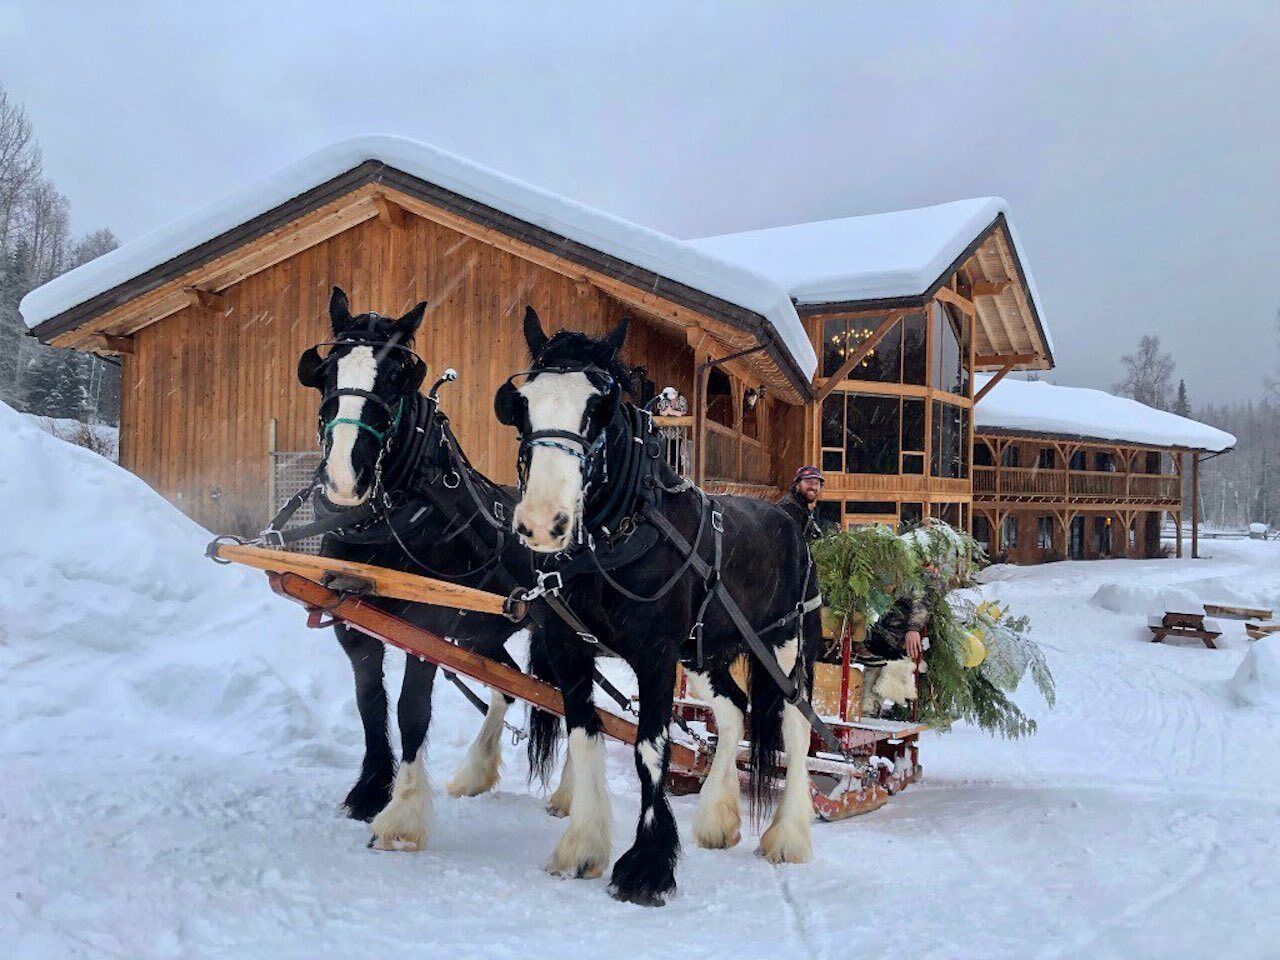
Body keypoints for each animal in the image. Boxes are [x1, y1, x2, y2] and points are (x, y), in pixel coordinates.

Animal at [296, 289, 568, 855]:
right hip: (480, 633)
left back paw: (568, 798)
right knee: (507, 685)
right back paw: (475, 773)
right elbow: (370, 702)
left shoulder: (427, 623)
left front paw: (402, 813)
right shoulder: (356, 621)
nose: (344, 479)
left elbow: (411, 708)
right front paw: (370, 788)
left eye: (398, 375)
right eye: (326, 370)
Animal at [494, 309, 824, 911]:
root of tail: (793, 518)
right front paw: (583, 845)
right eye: (521, 402)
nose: (544, 523)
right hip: (704, 654)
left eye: (599, 408)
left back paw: (787, 836)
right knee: (734, 711)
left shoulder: (654, 654)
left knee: (793, 725)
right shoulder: (570, 647)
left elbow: (650, 748)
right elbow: (585, 733)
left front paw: (646, 868)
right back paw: (718, 818)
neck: (617, 534)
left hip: (786, 646)